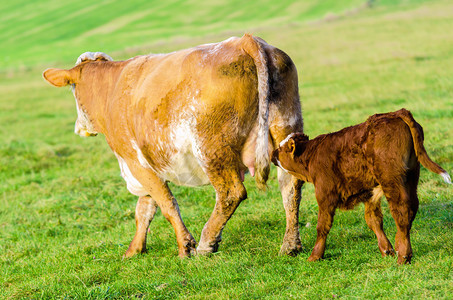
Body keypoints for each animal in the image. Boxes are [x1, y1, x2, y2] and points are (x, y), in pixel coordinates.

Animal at [42, 33, 304, 258]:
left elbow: (166, 205)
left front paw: (184, 247)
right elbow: (144, 210)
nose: (79, 127)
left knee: (231, 192)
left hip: (211, 149)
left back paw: (206, 243)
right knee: (291, 185)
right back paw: (290, 245)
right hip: (286, 127)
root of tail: (244, 42)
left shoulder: (136, 161)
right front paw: (134, 250)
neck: (111, 90)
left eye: (73, 89)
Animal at [270, 109, 450, 264]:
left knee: (402, 211)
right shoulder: (369, 193)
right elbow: (373, 220)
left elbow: (322, 226)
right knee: (411, 210)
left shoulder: (325, 195)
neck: (312, 155)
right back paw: (400, 247)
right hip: (411, 178)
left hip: (392, 180)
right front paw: (387, 250)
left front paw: (315, 256)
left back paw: (403, 256)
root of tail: (396, 113)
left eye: (282, 148)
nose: (272, 153)